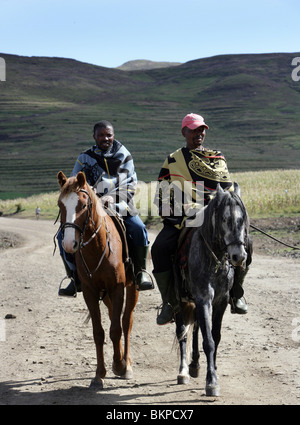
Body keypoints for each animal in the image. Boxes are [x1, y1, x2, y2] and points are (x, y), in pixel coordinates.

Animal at [56, 171, 139, 388]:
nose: (69, 243)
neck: (97, 247)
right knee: (112, 317)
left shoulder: (117, 288)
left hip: (132, 288)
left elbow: (117, 328)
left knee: (126, 321)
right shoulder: (90, 292)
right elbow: (99, 332)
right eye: (60, 204)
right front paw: (99, 374)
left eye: (84, 205)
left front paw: (119, 365)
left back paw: (126, 364)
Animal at [175, 181, 250, 394]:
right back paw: (183, 372)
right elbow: (207, 341)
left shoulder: (219, 301)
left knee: (195, 329)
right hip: (179, 301)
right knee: (182, 332)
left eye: (242, 219)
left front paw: (213, 369)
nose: (239, 257)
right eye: (224, 219)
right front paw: (212, 382)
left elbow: (214, 337)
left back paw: (195, 365)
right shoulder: (203, 298)